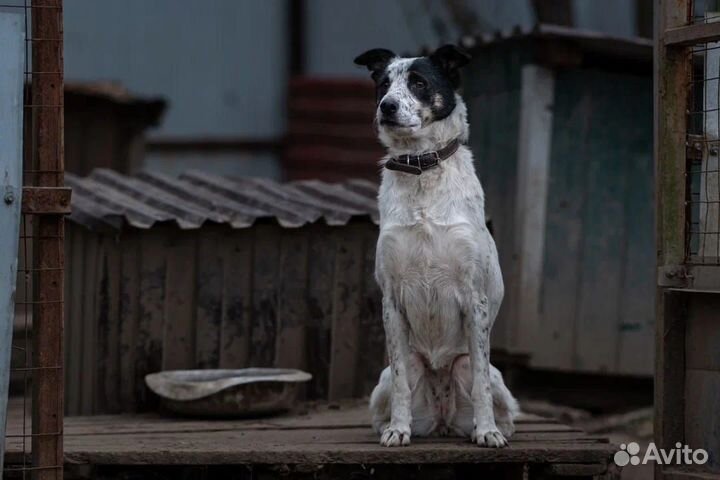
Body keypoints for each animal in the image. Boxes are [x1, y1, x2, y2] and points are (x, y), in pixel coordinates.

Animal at [352, 44, 516, 446]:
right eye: (383, 84)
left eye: (419, 83)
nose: (387, 107)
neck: (421, 168)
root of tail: (443, 421)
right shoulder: (391, 301)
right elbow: (400, 383)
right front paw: (398, 430)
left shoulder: (475, 298)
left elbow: (480, 385)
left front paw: (487, 432)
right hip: (390, 376)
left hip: (483, 372)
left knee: (492, 393)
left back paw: (493, 428)